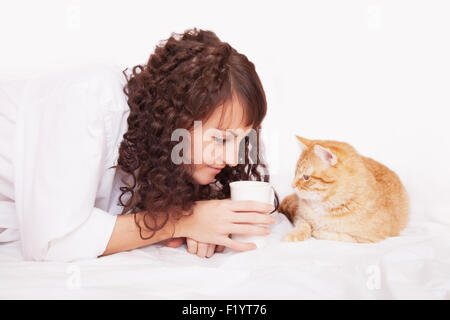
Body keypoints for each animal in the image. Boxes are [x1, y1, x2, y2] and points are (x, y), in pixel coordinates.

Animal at [280, 135, 410, 242]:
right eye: (295, 173)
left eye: (306, 177)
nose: (292, 185)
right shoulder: (299, 216)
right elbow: (303, 225)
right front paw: (294, 234)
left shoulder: (368, 238)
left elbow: (338, 235)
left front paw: (319, 231)